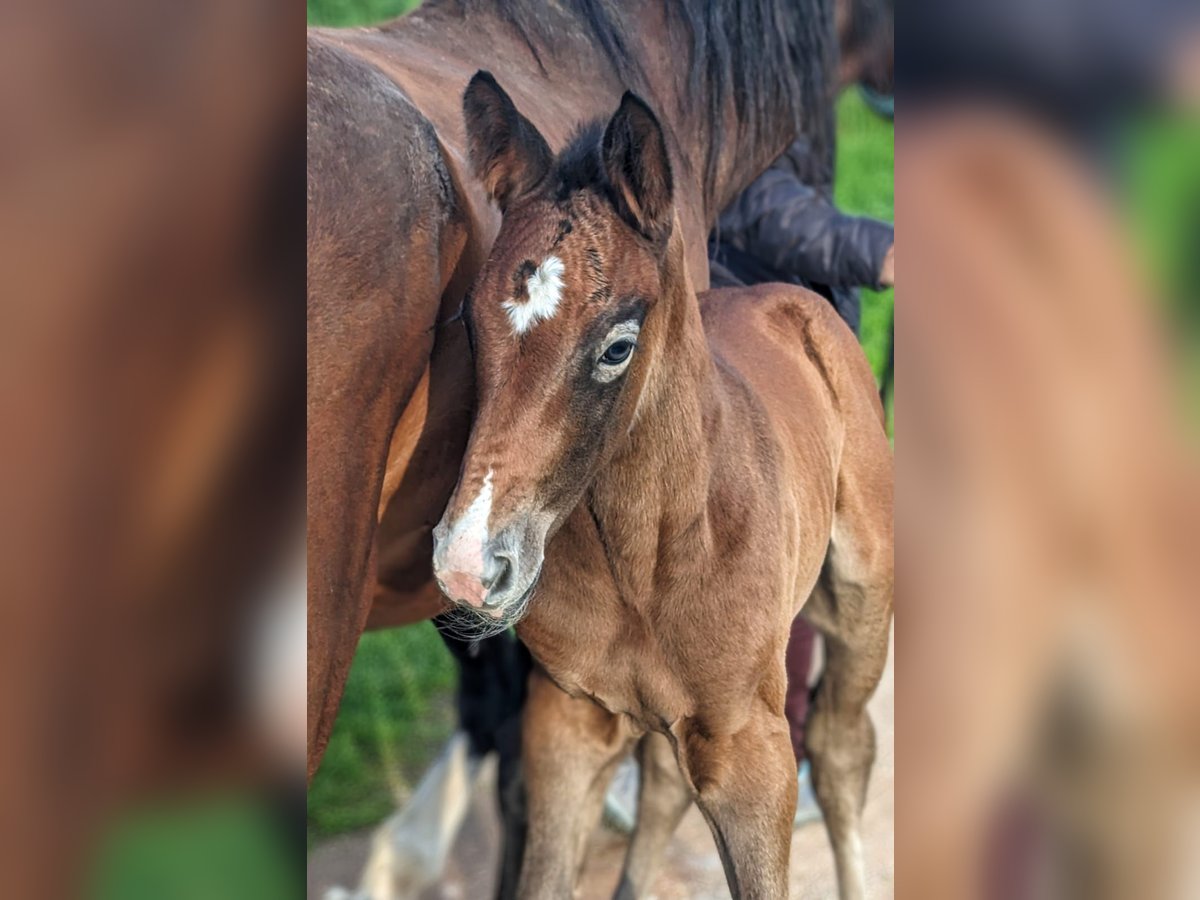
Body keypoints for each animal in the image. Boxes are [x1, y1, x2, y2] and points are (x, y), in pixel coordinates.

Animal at [432, 72, 892, 900]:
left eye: (618, 346)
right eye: (471, 323)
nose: (467, 564)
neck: (643, 565)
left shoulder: (753, 752)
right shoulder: (566, 724)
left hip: (863, 601)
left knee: (842, 752)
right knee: (666, 783)